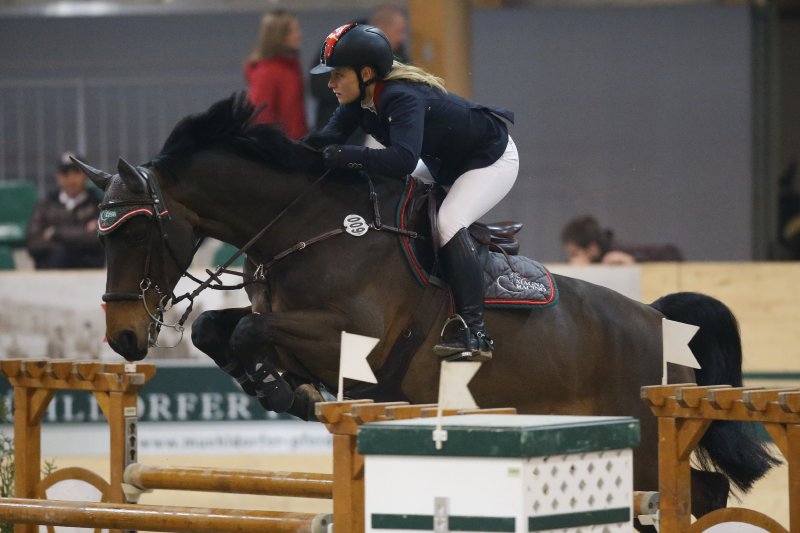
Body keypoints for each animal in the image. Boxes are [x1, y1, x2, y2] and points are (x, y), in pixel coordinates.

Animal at [81, 93, 776, 520]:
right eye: (101, 235)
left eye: (136, 234)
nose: (123, 340)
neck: (307, 225)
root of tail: (659, 322)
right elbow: (217, 328)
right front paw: (282, 387)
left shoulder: (350, 337)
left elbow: (248, 328)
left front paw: (284, 389)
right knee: (699, 492)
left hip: (645, 441)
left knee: (699, 491)